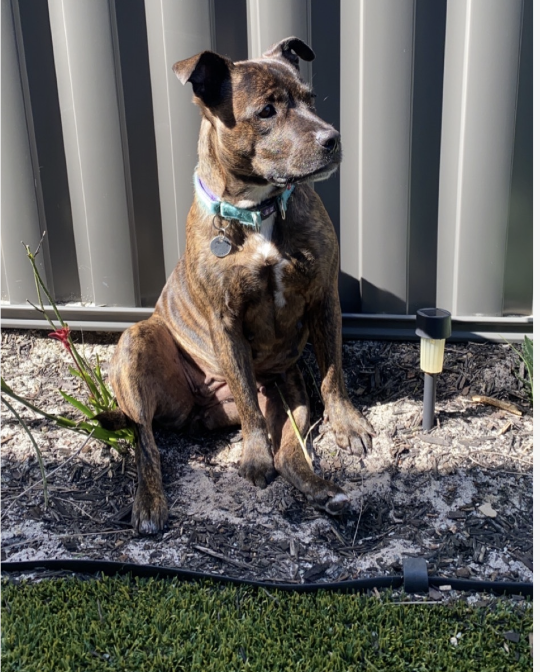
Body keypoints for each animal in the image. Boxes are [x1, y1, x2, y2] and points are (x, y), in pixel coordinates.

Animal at [99, 38, 374, 536]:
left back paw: (326, 492)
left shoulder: (324, 298)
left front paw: (347, 424)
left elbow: (333, 371)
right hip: (135, 343)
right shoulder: (224, 324)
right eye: (266, 110)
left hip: (289, 394)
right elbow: (246, 399)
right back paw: (149, 503)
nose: (332, 138)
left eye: (311, 99)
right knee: (144, 437)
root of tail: (200, 412)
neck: (257, 209)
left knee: (290, 451)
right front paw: (253, 457)